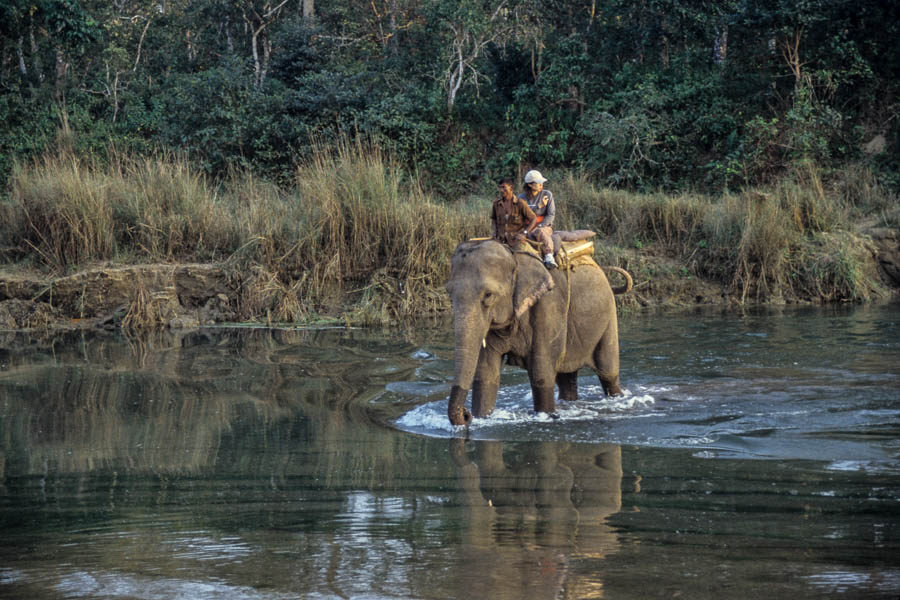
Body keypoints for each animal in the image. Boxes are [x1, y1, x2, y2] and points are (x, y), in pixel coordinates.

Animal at [444, 239, 632, 426]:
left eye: (488, 295)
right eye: (449, 293)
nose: (466, 415)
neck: (514, 257)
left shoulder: (549, 305)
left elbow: (541, 373)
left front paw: (546, 415)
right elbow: (486, 374)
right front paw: (482, 419)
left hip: (609, 317)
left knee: (608, 374)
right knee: (566, 378)